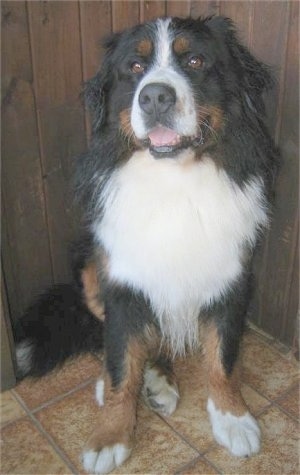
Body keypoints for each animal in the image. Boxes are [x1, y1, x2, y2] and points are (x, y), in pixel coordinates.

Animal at [15, 16, 278, 474]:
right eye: (135, 67)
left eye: (195, 60)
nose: (155, 96)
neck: (174, 183)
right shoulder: (123, 282)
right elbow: (122, 362)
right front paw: (110, 434)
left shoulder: (231, 277)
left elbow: (223, 358)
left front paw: (232, 417)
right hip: (89, 270)